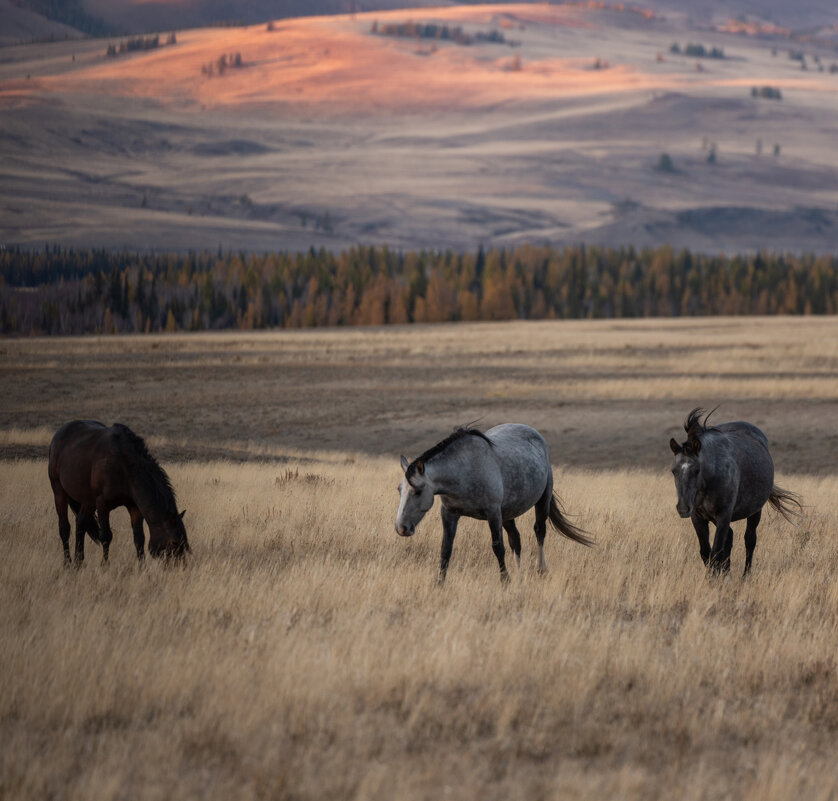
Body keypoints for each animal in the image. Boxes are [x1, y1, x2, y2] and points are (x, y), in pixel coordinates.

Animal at [48, 418, 189, 564]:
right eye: (174, 543)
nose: (180, 566)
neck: (123, 465)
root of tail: (59, 434)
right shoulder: (102, 505)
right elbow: (106, 536)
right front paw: (105, 565)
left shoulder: (134, 507)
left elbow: (139, 538)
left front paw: (142, 566)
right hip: (59, 491)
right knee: (64, 528)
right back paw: (68, 563)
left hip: (88, 501)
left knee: (80, 524)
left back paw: (79, 562)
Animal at [394, 424, 592, 580]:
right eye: (399, 490)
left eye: (418, 491)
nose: (401, 528)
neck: (463, 471)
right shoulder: (449, 513)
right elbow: (446, 549)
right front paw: (439, 584)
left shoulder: (493, 514)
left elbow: (498, 547)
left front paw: (505, 582)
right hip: (508, 513)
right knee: (516, 540)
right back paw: (520, 576)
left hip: (541, 501)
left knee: (539, 532)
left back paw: (541, 570)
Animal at [672, 406, 804, 576]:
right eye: (673, 471)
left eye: (696, 470)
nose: (683, 508)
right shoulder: (698, 518)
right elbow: (706, 552)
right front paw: (716, 576)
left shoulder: (723, 516)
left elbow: (716, 551)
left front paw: (714, 579)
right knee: (730, 538)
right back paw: (726, 572)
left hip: (755, 512)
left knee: (749, 540)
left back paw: (745, 576)